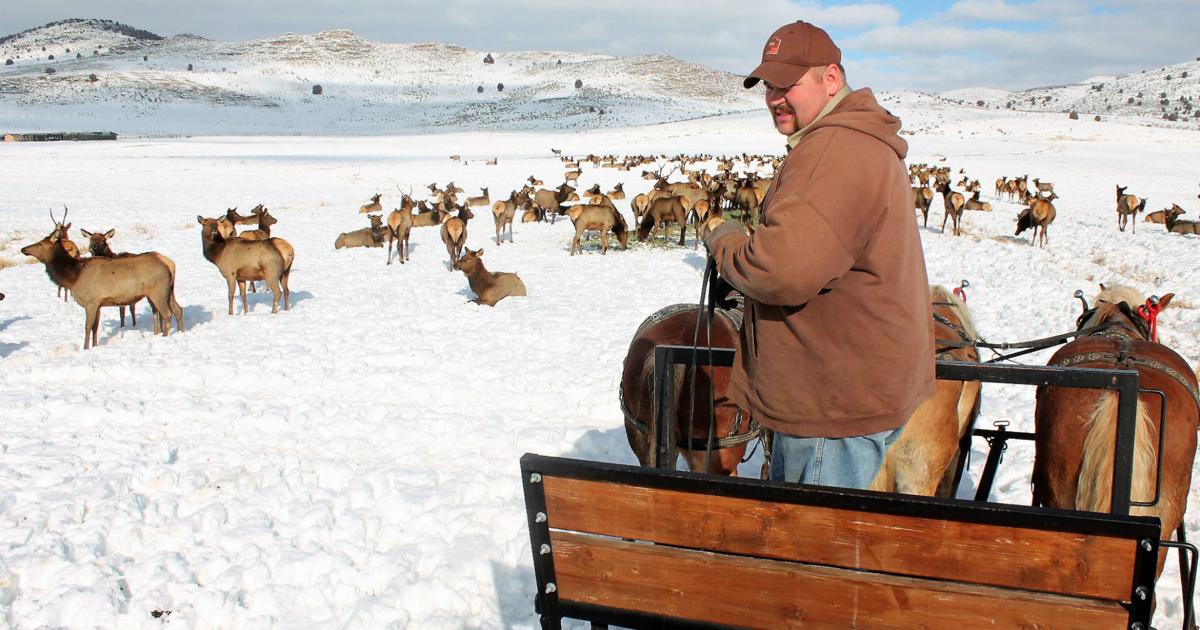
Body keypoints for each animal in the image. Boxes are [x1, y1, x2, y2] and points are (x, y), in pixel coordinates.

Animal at [22, 224, 183, 349]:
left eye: (40, 243)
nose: (23, 249)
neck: (73, 277)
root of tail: (169, 264)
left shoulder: (91, 302)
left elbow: (87, 327)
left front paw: (85, 348)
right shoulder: (99, 303)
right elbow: (95, 327)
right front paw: (94, 346)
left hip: (157, 292)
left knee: (167, 313)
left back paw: (165, 337)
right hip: (169, 291)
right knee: (178, 309)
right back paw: (181, 332)